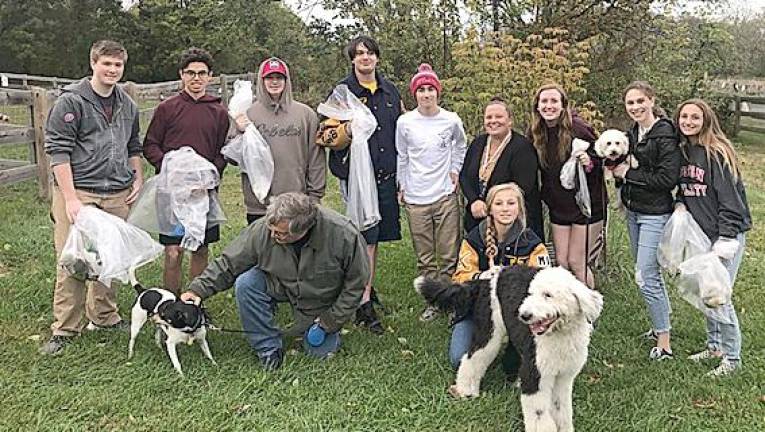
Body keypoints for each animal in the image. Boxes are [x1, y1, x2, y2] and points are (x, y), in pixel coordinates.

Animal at [414, 266, 600, 432]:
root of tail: (485, 281)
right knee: (471, 359)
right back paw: (466, 391)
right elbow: (539, 415)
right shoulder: (535, 374)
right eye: (530, 293)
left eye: (548, 295)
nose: (524, 315)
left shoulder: (563, 377)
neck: (560, 335)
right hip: (490, 332)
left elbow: (562, 411)